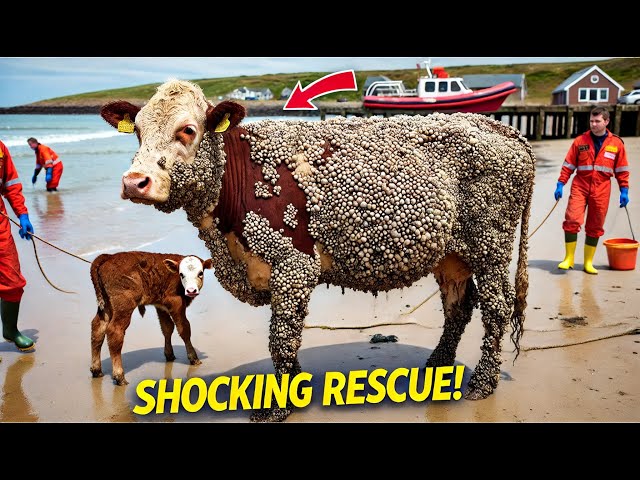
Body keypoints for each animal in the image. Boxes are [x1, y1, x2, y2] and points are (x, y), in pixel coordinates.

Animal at [89, 251, 212, 386]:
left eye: (200, 273)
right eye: (181, 274)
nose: (191, 290)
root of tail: (108, 256)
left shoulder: (161, 306)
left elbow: (167, 328)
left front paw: (169, 355)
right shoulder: (176, 303)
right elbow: (184, 329)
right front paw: (194, 358)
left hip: (106, 307)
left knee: (97, 328)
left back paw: (96, 370)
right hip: (124, 306)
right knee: (114, 331)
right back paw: (119, 376)